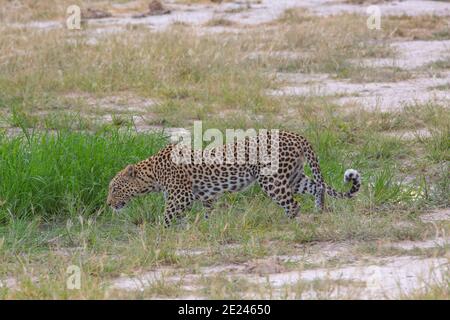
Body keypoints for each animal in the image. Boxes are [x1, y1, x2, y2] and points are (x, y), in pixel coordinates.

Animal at [106, 129, 362, 226]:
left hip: (271, 179)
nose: (108, 204)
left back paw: (286, 224)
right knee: (317, 188)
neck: (153, 174)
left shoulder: (180, 196)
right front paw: (204, 228)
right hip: (294, 177)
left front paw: (157, 233)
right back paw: (319, 211)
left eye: (115, 189)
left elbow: (167, 217)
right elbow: (206, 213)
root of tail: (298, 136)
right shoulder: (205, 196)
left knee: (293, 204)